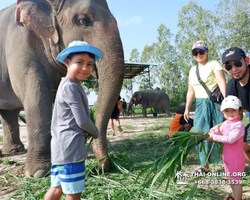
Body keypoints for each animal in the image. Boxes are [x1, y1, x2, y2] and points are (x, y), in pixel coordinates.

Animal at [0, 0, 124, 178]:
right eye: (83, 20)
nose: (101, 168)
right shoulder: (19, 45)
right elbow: (37, 95)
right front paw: (37, 173)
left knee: (9, 113)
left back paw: (15, 151)